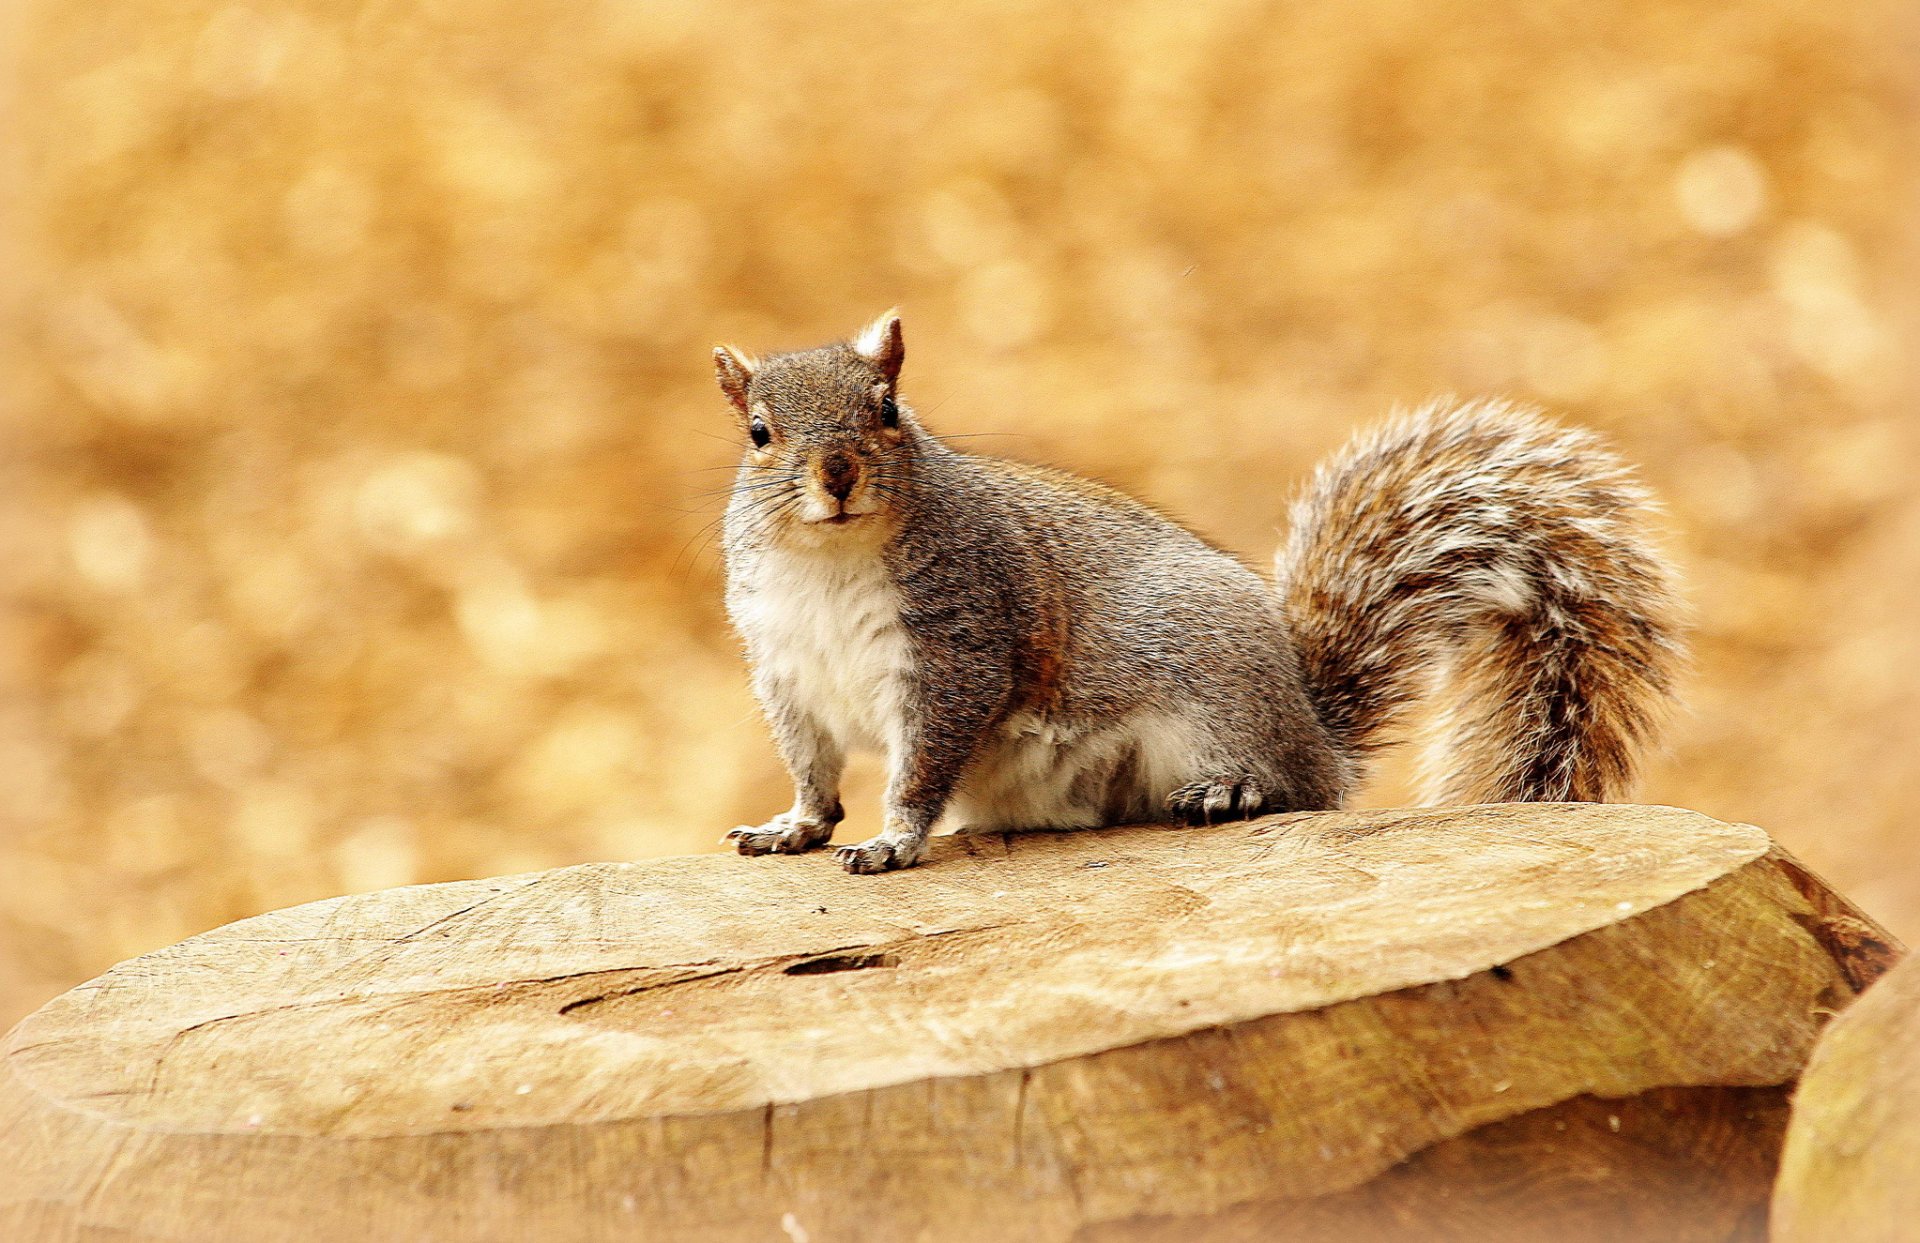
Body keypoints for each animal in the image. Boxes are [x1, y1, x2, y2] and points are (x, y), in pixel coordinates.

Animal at [710, 311, 1681, 876]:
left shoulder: (959, 646)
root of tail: (1313, 730)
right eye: (758, 432)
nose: (837, 473)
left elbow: (921, 765)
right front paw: (794, 826)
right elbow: (811, 767)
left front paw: (892, 839)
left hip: (1213, 694)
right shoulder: (782, 666)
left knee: (1294, 787)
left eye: (886, 409)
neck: (830, 560)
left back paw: (1233, 792)